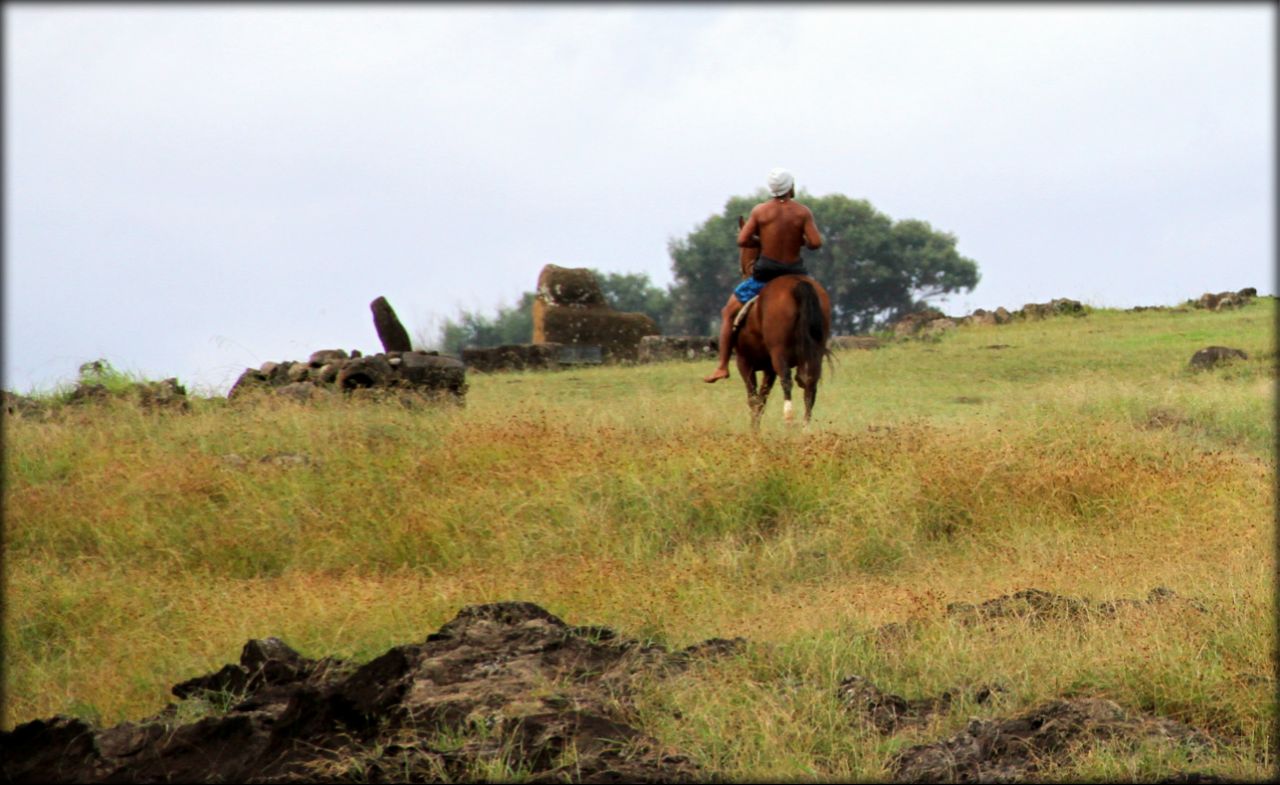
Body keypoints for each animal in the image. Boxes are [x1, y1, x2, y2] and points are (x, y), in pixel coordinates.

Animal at [737, 217, 834, 427]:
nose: (743, 270)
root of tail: (799, 283)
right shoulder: (767, 367)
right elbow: (761, 398)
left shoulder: (745, 362)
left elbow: (754, 399)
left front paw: (754, 429)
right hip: (815, 350)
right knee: (810, 384)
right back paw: (805, 426)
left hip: (778, 351)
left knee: (787, 380)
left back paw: (789, 418)